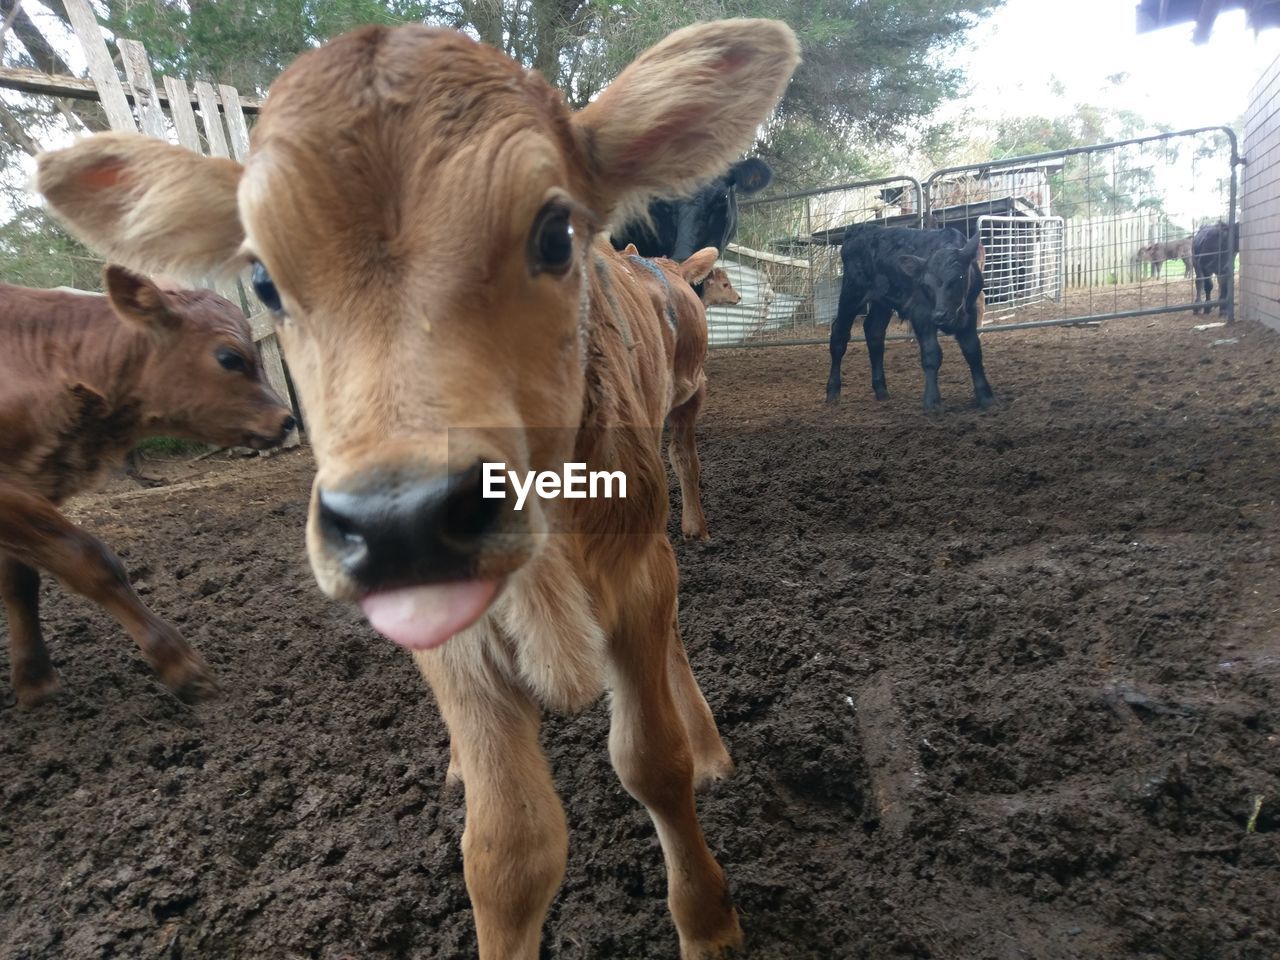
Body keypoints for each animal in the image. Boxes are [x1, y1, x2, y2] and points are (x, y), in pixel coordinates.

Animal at [0, 267, 293, 711]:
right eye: (229, 357)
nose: (287, 420)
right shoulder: (11, 495)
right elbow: (90, 558)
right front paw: (183, 667)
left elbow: (21, 583)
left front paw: (35, 682)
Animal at [824, 226, 993, 414]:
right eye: (925, 285)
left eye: (958, 278)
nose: (940, 315)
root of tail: (858, 229)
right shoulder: (921, 313)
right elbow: (931, 354)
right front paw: (932, 401)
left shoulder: (970, 312)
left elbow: (973, 351)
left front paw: (985, 396)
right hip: (852, 292)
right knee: (839, 335)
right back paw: (833, 392)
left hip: (881, 300)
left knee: (874, 332)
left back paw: (881, 389)